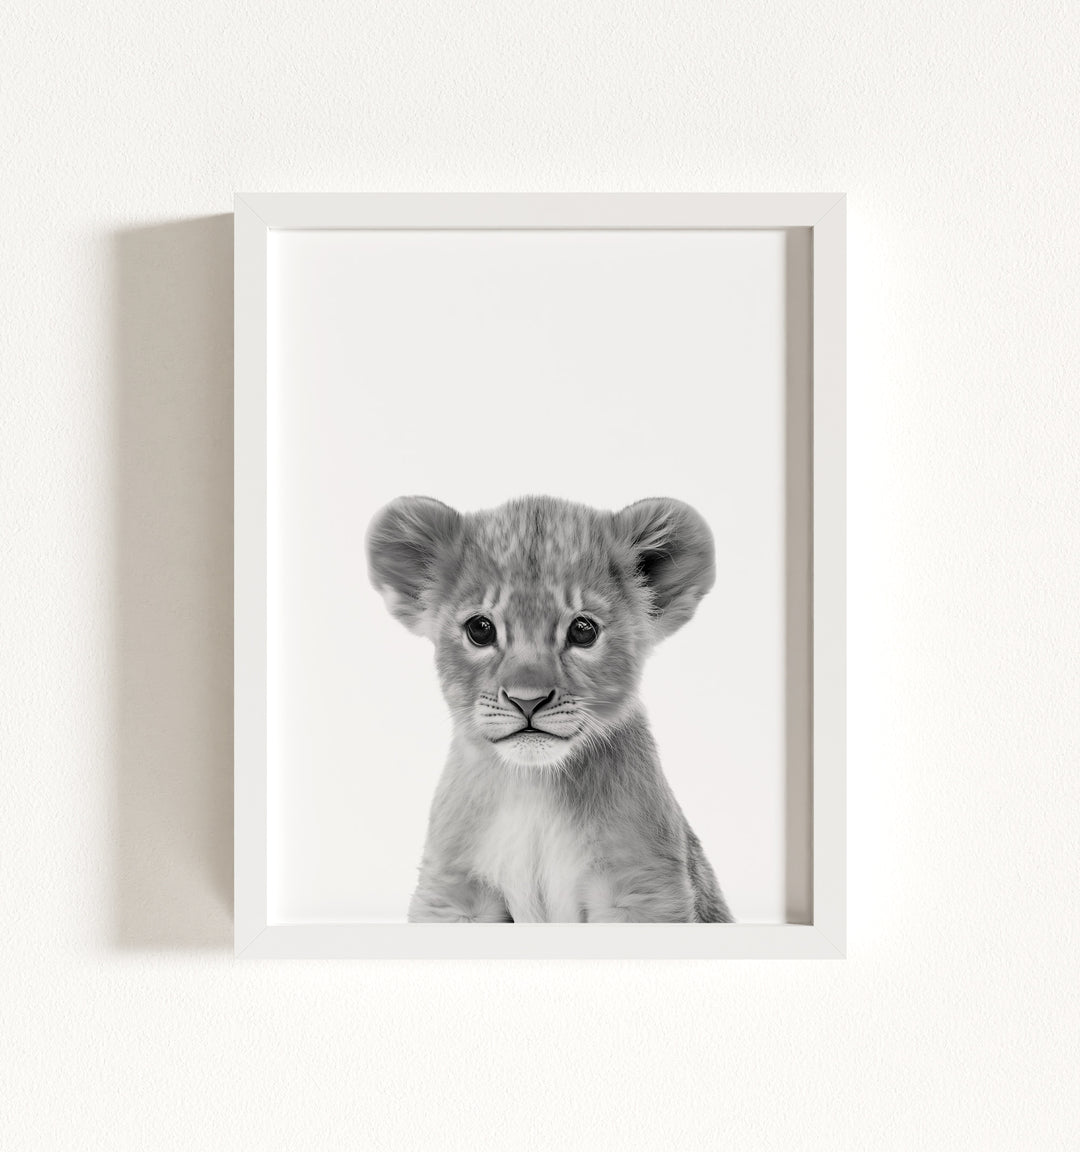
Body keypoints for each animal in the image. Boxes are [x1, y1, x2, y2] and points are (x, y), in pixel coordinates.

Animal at [366, 494, 733, 923]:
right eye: (480, 629)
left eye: (583, 630)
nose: (527, 700)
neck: (534, 786)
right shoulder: (452, 893)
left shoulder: (642, 888)